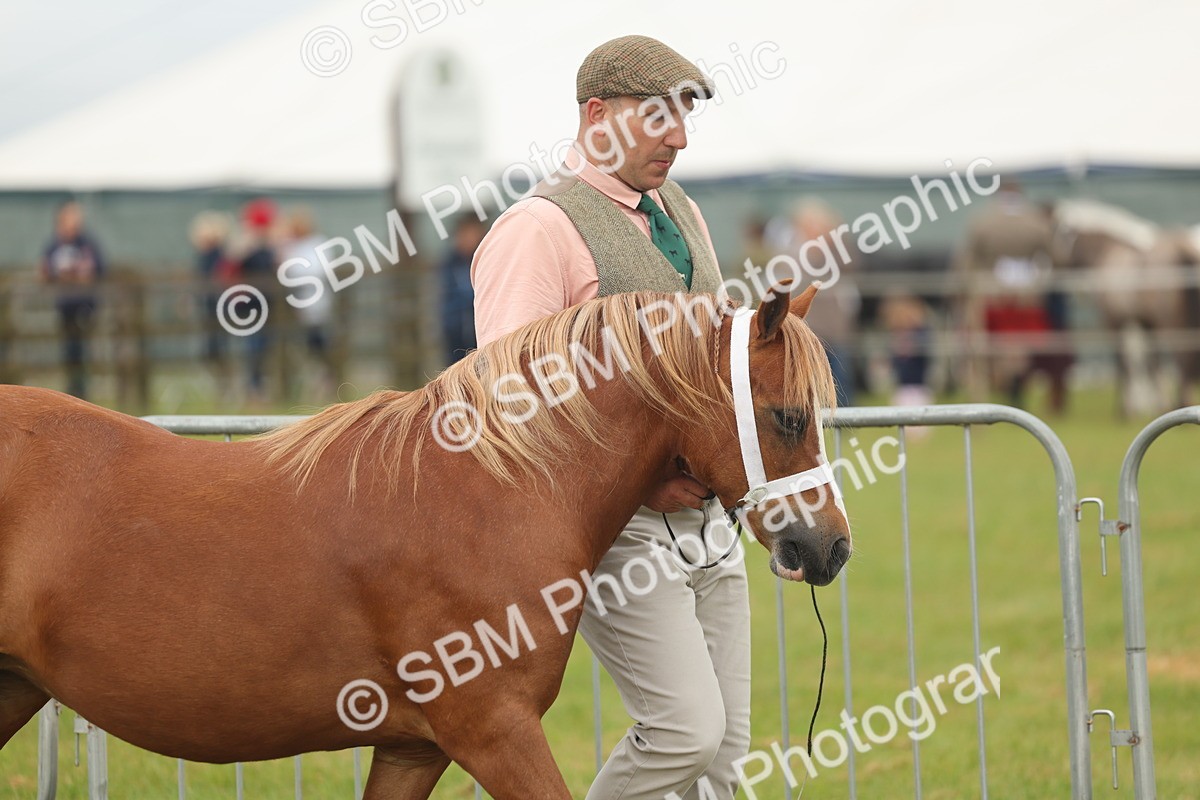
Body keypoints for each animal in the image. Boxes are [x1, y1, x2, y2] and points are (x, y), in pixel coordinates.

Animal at [1048, 199, 1200, 415]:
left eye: (1053, 233)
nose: (1051, 267)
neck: (1105, 254)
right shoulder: (1145, 323)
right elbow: (1152, 362)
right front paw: (1160, 404)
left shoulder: (1114, 320)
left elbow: (1123, 361)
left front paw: (1124, 409)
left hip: (1171, 321)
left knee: (1183, 356)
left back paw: (1182, 401)